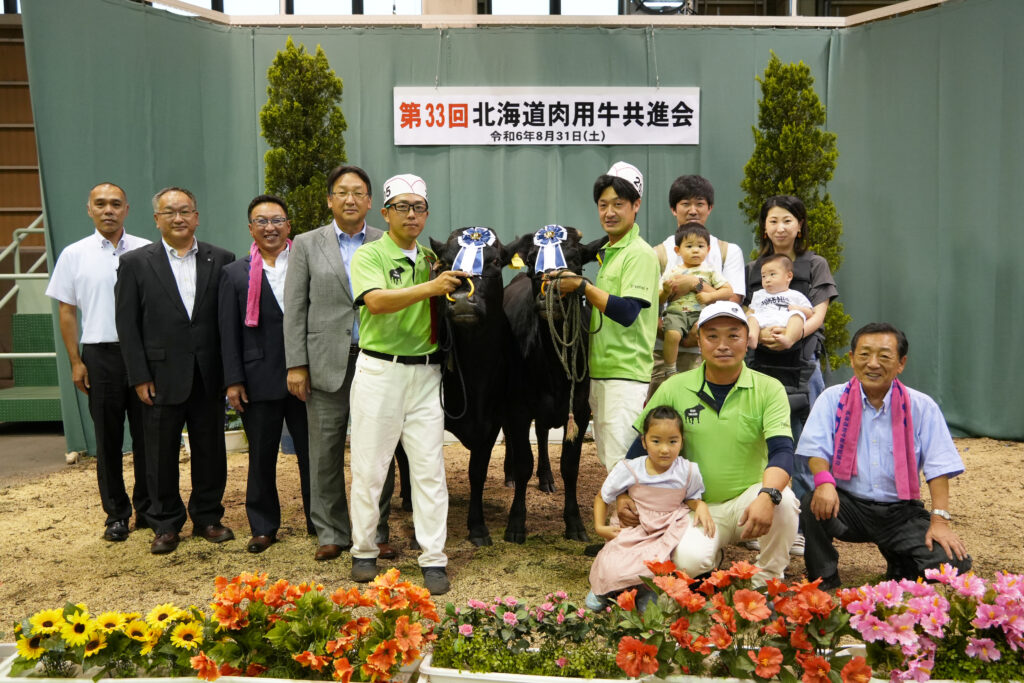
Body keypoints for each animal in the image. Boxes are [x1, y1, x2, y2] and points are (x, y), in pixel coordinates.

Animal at [428, 227, 516, 548]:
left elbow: (477, 472)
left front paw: (477, 527)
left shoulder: (491, 422)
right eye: (445, 262)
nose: (463, 300)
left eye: (495, 261)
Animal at [503, 227, 606, 540]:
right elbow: (524, 463)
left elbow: (570, 467)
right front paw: (516, 523)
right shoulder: (518, 406)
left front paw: (574, 523)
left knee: (543, 434)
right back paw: (509, 475)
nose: (551, 292)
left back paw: (546, 477)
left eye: (576, 260)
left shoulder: (581, 410)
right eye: (531, 262)